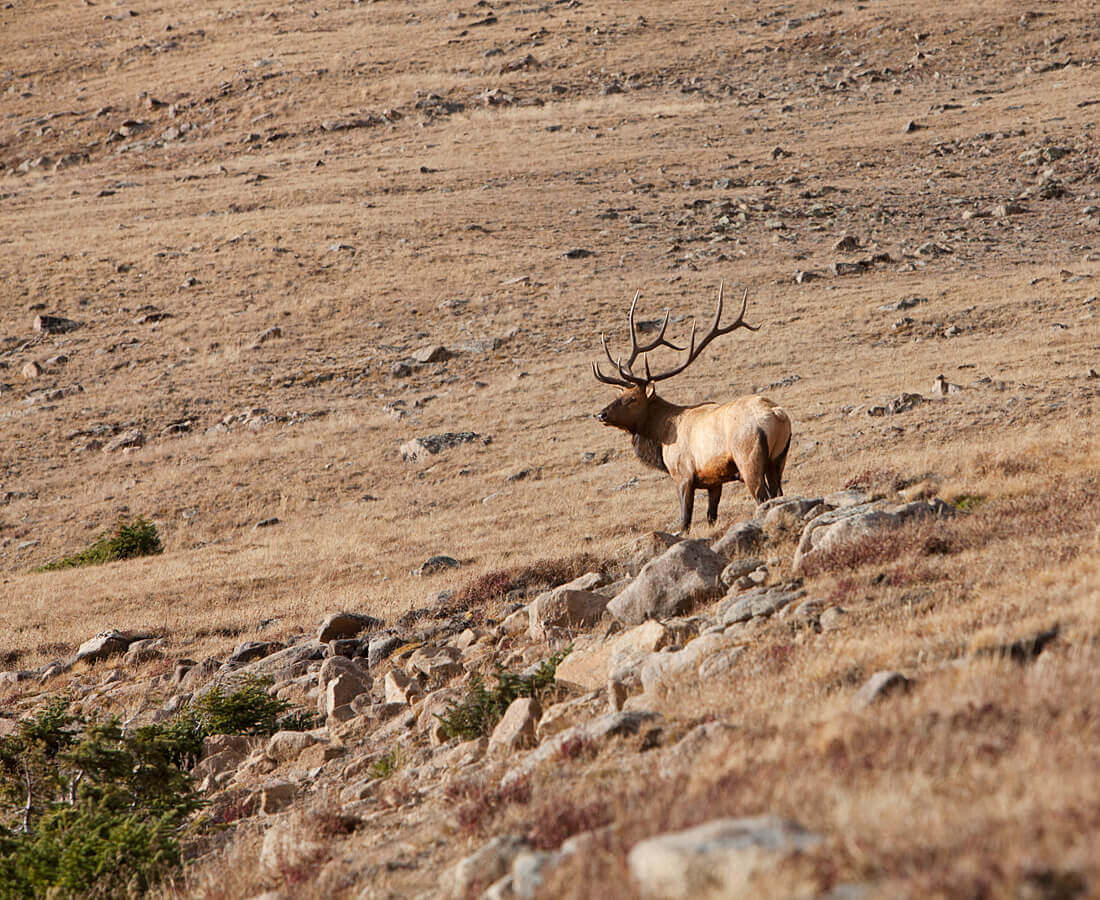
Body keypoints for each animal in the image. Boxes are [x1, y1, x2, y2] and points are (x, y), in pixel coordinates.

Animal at [594, 283, 792, 530]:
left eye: (633, 398)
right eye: (620, 394)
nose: (601, 414)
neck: (660, 435)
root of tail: (778, 415)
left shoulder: (684, 475)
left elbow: (685, 520)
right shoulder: (714, 480)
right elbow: (711, 516)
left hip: (749, 459)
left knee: (762, 497)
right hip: (778, 460)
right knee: (779, 494)